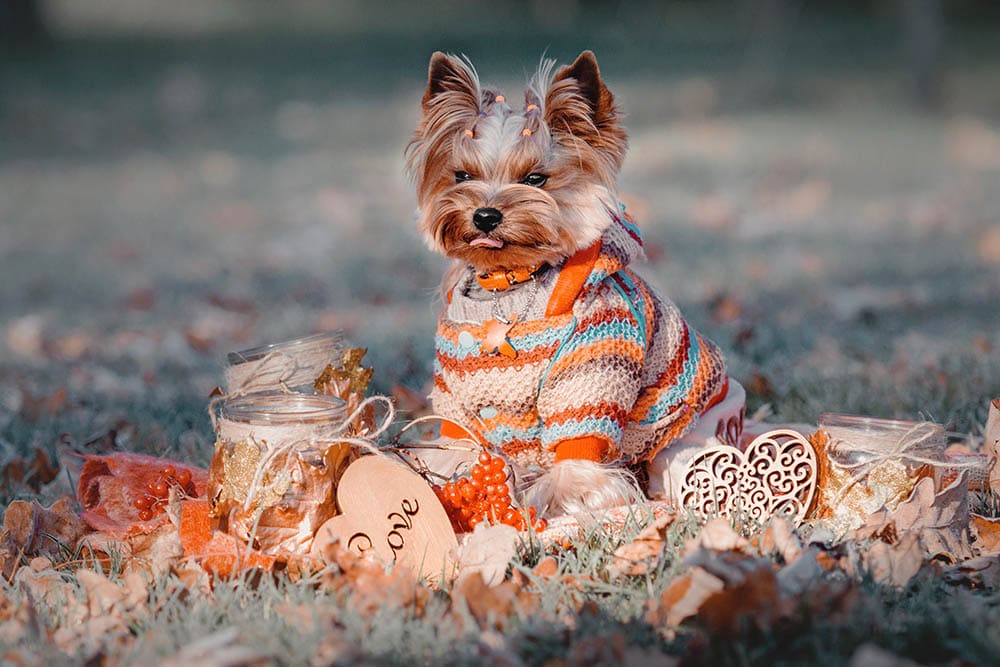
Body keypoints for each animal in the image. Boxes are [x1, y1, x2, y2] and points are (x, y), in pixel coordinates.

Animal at [406, 52, 744, 516]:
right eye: (462, 176)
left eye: (535, 179)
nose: (486, 215)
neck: (509, 286)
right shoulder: (456, 389)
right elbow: (457, 443)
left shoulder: (594, 359)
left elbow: (579, 433)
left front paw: (570, 492)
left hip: (691, 434)